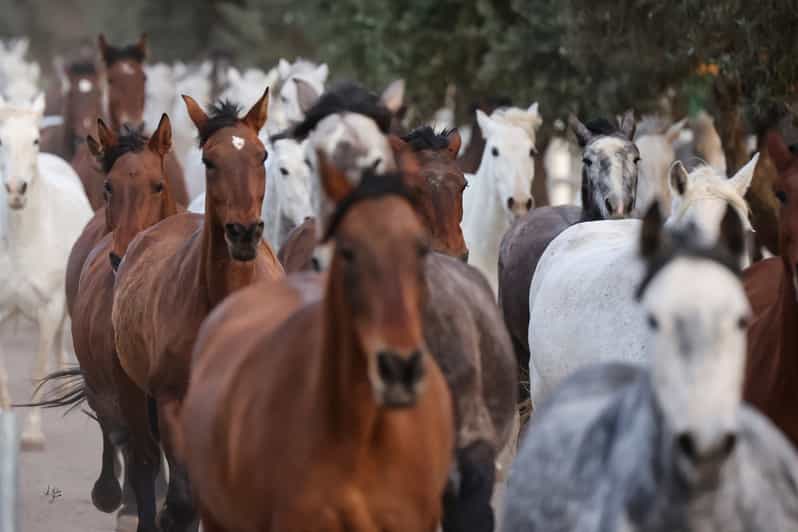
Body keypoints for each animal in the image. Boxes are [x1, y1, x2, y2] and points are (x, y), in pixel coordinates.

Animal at [0, 94, 92, 449]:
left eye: (35, 140)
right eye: (1, 141)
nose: (15, 189)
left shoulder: (49, 307)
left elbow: (38, 368)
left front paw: (31, 434)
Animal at [112, 87, 283, 532]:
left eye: (261, 155)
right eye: (209, 160)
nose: (243, 232)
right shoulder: (173, 401)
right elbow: (184, 498)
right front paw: (171, 514)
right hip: (134, 394)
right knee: (144, 463)